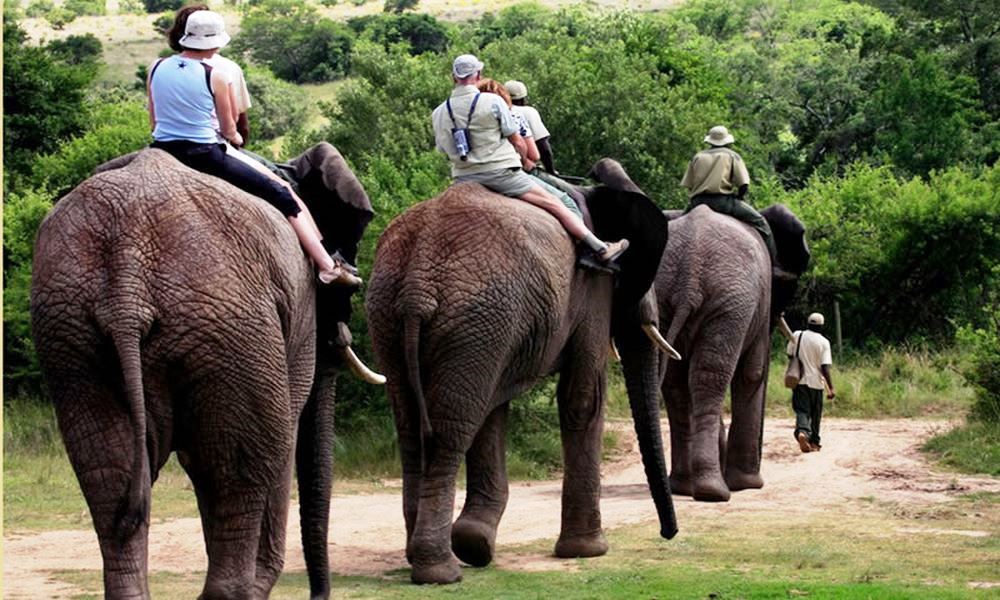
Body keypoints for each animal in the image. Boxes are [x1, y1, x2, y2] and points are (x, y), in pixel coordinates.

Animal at [29, 145, 378, 600]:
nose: (319, 595)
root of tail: (127, 275)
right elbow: (281, 438)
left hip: (74, 332)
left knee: (109, 473)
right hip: (228, 324)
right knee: (239, 468)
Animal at [368, 159, 680, 584]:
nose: (669, 533)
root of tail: (418, 280)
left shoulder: (499, 332)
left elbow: (493, 411)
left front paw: (475, 543)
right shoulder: (595, 286)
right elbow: (583, 398)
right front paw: (587, 551)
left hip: (413, 317)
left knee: (412, 426)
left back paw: (420, 556)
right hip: (472, 314)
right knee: (448, 432)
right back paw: (440, 570)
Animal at [656, 203, 812, 502]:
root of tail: (689, 273)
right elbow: (754, 373)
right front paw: (748, 484)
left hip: (665, 299)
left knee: (676, 383)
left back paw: (683, 487)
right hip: (731, 303)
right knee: (711, 376)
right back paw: (713, 491)